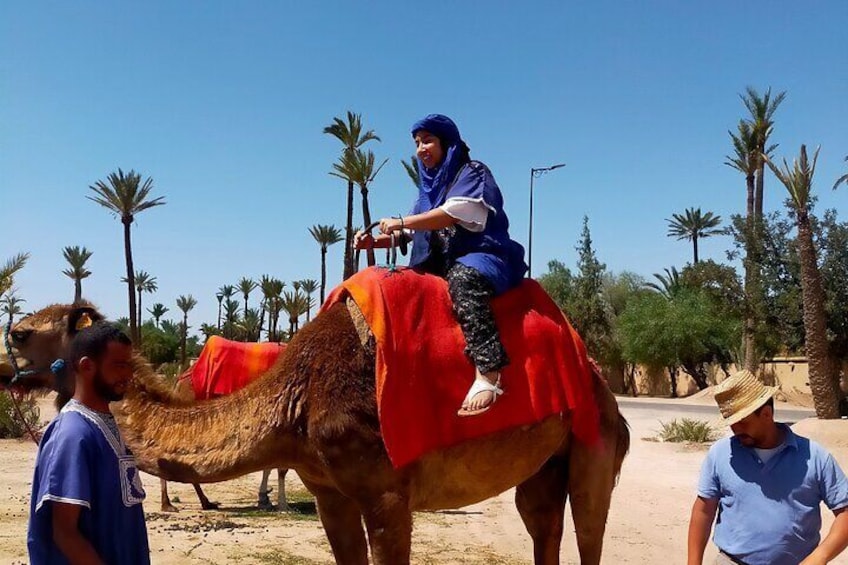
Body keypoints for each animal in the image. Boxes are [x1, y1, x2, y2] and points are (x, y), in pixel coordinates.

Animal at [3, 302, 628, 560]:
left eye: (19, 333)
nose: (4, 370)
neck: (294, 399)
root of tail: (593, 367)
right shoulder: (328, 491)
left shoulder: (387, 493)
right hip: (543, 464)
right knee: (544, 526)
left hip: (596, 441)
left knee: (589, 527)